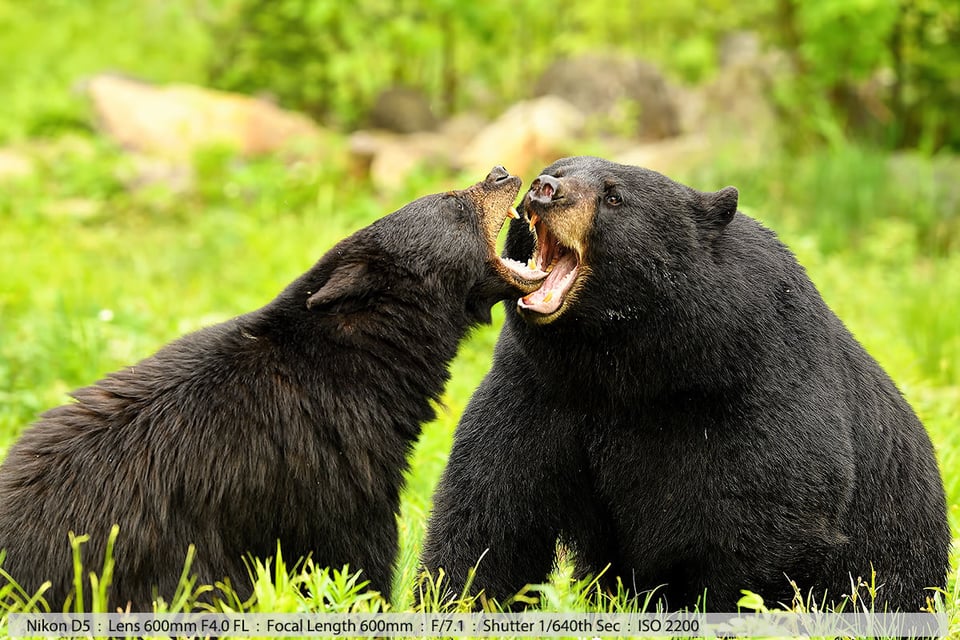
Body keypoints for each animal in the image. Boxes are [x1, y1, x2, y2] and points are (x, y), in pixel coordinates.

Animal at [424, 158, 948, 612]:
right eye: (557, 167)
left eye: (614, 196)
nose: (544, 188)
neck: (628, 364)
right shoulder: (539, 387)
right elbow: (493, 502)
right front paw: (457, 600)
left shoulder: (759, 383)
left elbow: (772, 515)